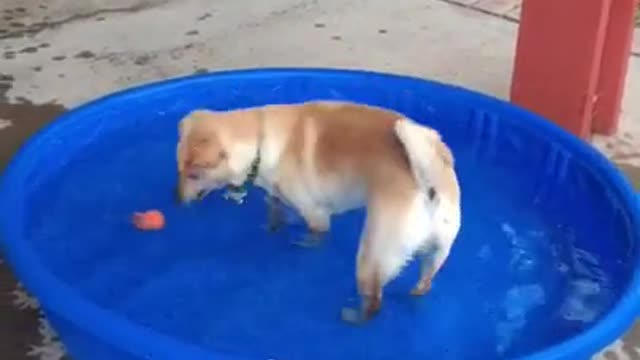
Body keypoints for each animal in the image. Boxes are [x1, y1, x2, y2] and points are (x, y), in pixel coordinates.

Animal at [176, 101, 460, 324]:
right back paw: (415, 294)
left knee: (375, 301)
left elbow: (316, 235)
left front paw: (302, 243)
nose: (175, 199)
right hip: (436, 254)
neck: (260, 140)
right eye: (179, 169)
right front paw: (272, 226)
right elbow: (274, 207)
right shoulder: (277, 194)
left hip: (372, 256)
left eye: (194, 175)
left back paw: (354, 318)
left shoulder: (316, 216)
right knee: (425, 282)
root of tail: (430, 186)